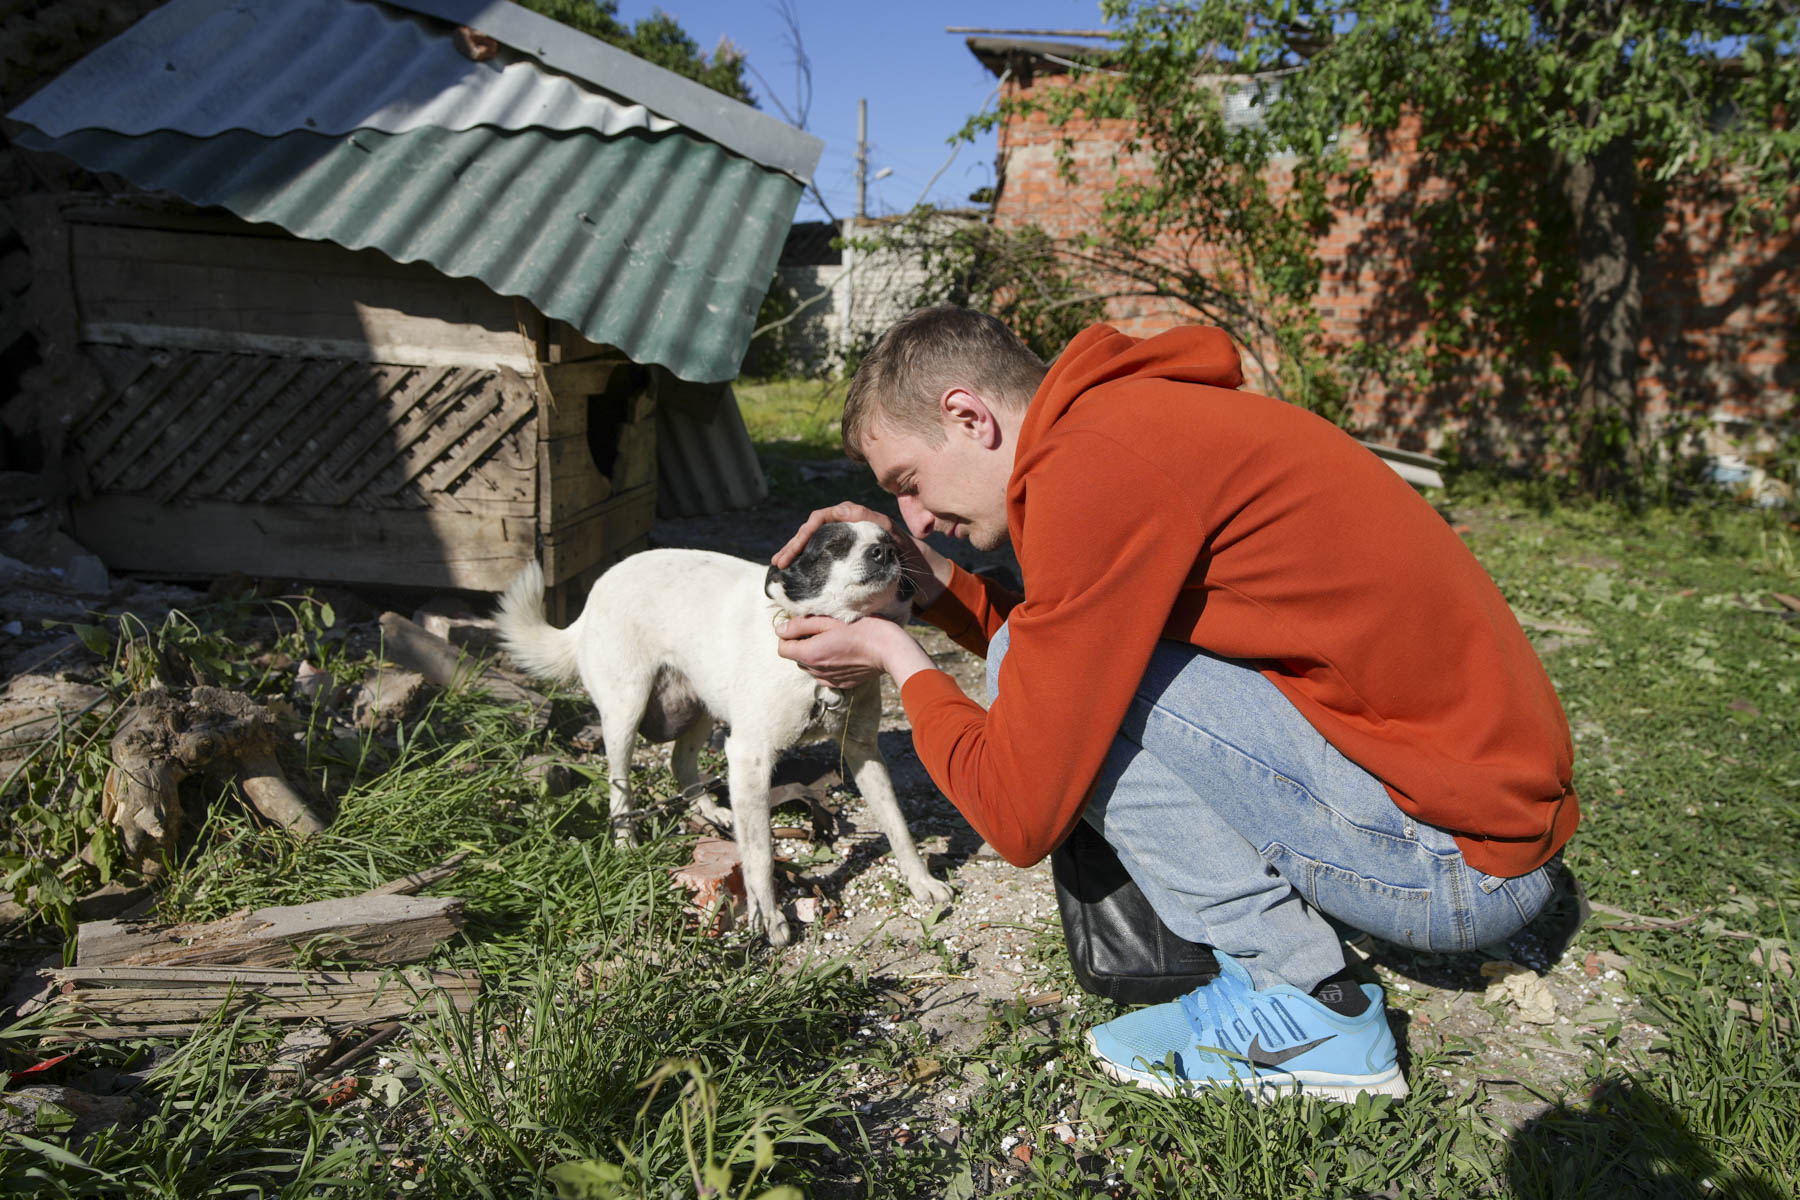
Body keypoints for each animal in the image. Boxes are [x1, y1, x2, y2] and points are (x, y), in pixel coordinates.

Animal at [486, 525, 950, 949]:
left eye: (891, 542)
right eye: (834, 546)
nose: (884, 552)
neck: (817, 680)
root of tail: (591, 599)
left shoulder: (863, 751)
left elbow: (896, 824)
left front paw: (922, 881)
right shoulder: (750, 756)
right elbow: (760, 851)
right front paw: (769, 917)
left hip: (701, 705)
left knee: (680, 762)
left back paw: (713, 813)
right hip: (626, 708)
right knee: (619, 784)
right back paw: (627, 842)